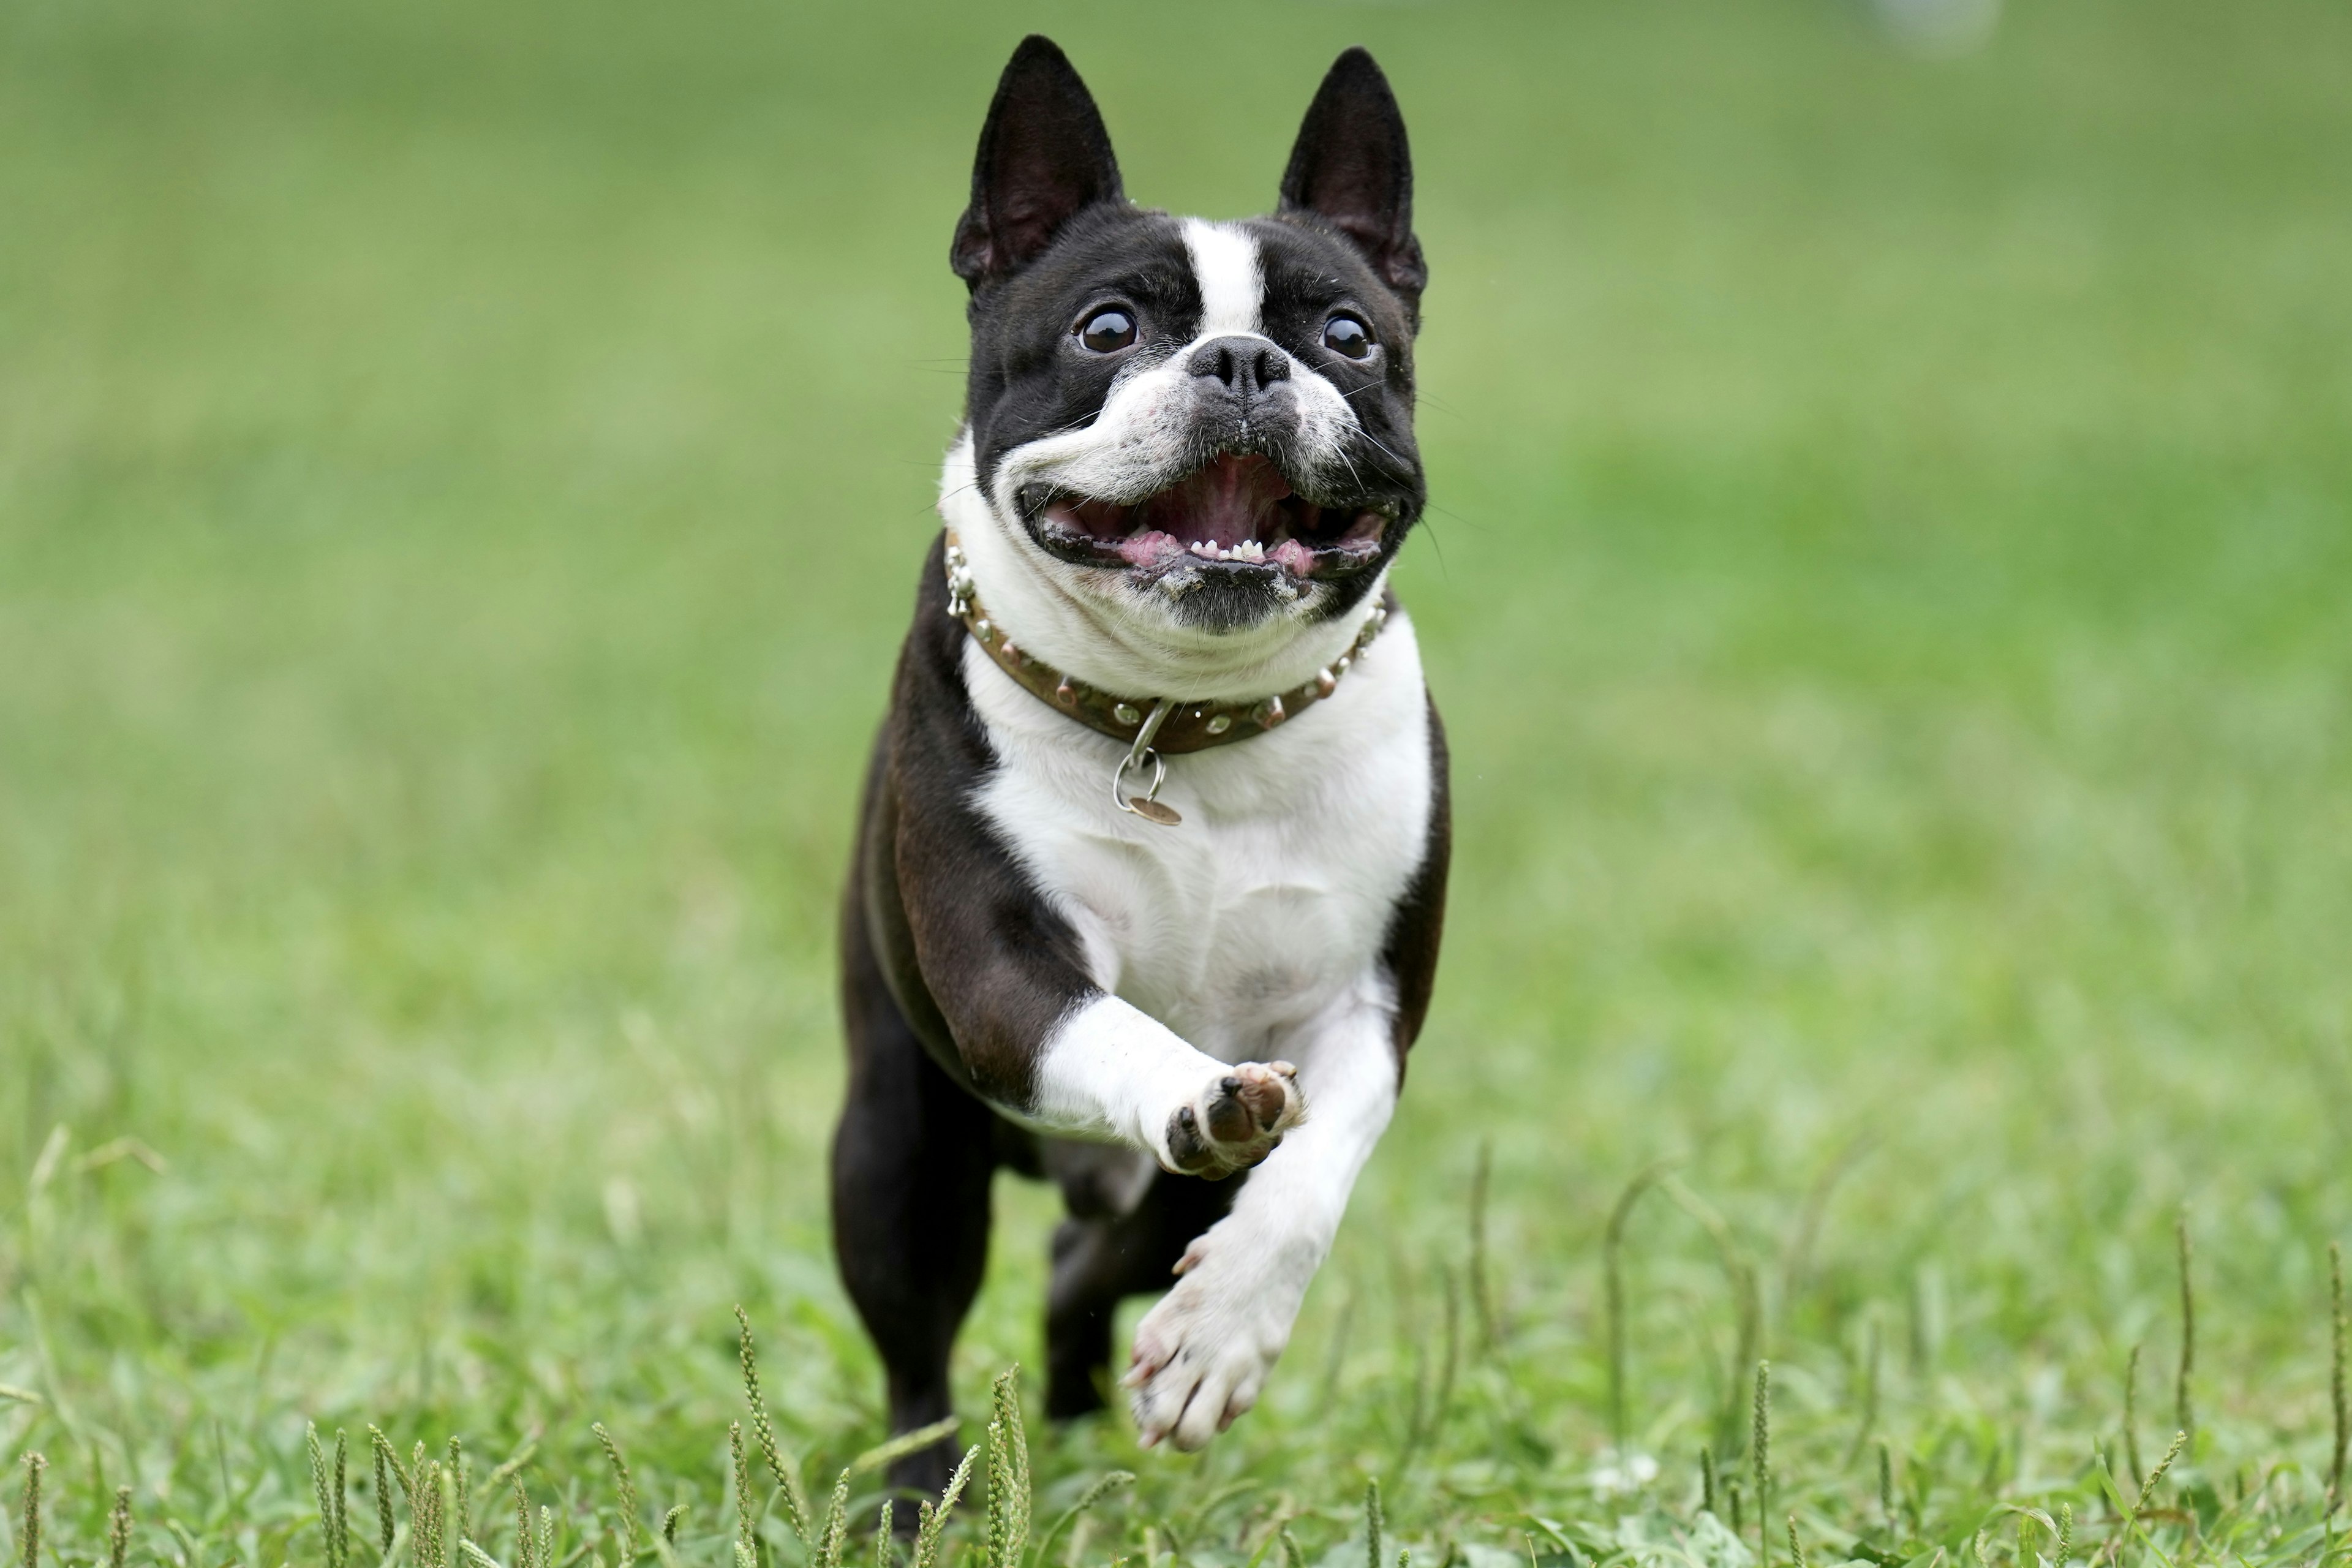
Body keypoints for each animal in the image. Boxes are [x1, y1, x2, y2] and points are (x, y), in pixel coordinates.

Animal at [827, 34, 1449, 1485]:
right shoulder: (1005, 979)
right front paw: (1198, 1095)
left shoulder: (1365, 1014)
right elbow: (1115, 1030)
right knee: (919, 1346)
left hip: (1128, 1213)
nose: (1243, 362)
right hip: (894, 1148)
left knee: (1082, 1272)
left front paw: (1221, 1336)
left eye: (1346, 336)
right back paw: (919, 1492)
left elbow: (1314, 1168)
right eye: (1109, 329)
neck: (1186, 724)